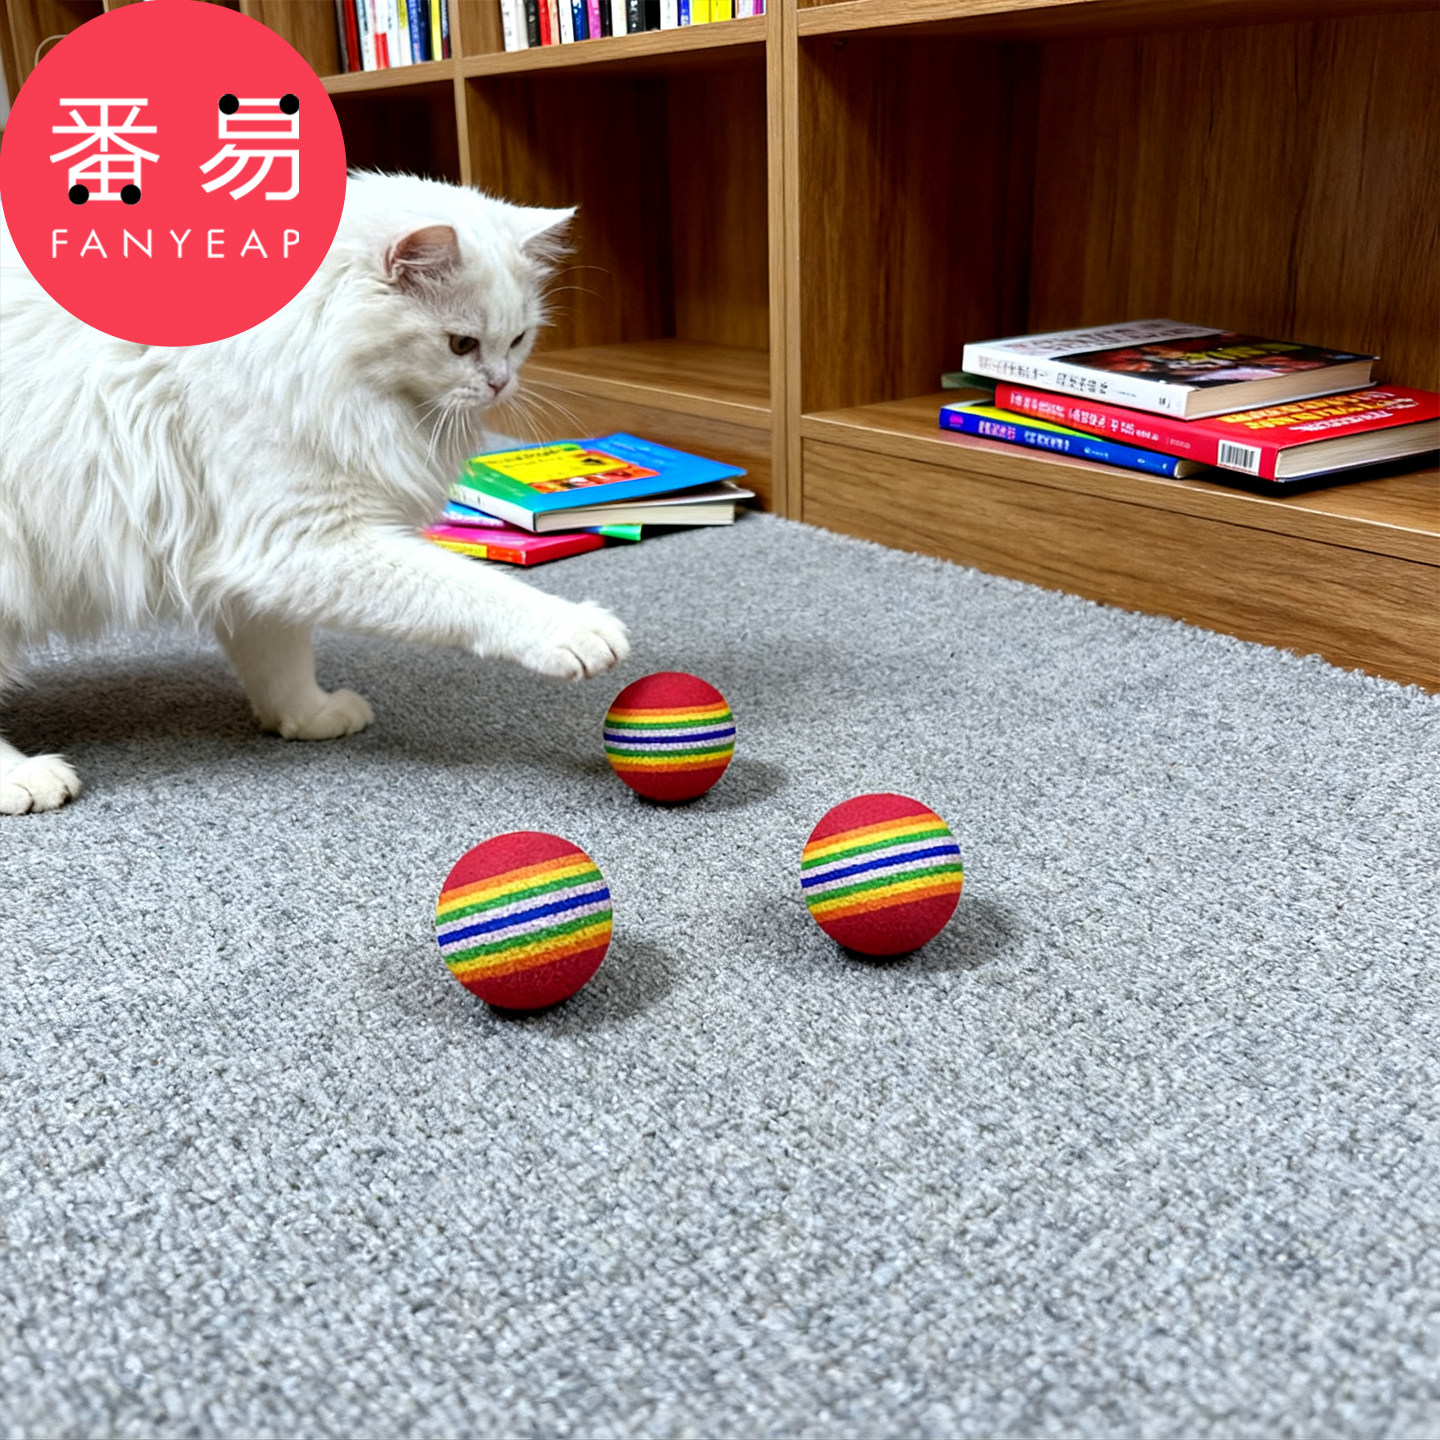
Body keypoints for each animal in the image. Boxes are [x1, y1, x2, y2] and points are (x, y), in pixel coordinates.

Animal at [0, 172, 629, 815]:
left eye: (519, 339)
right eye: (460, 345)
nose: (502, 384)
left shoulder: (253, 554)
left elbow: (280, 655)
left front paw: (307, 716)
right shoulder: (304, 540)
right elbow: (475, 591)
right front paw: (578, 630)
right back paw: (25, 780)